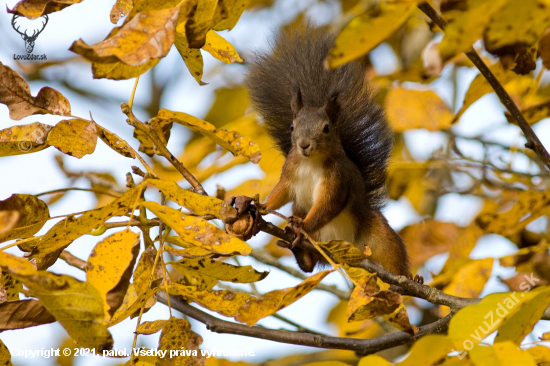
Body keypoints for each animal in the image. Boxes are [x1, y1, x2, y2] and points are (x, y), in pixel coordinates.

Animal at [246, 25, 418, 280]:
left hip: (378, 236)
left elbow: (328, 205)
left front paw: (303, 226)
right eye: (292, 127)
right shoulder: (289, 172)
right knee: (309, 265)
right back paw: (299, 251)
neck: (311, 162)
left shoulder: (337, 178)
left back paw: (411, 278)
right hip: (312, 234)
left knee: (393, 257)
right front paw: (262, 206)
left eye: (326, 128)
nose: (304, 145)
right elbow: (281, 192)